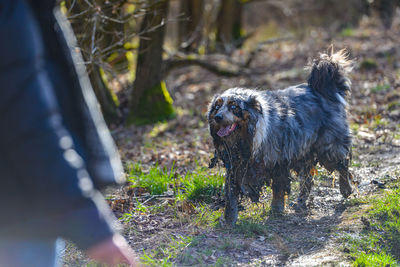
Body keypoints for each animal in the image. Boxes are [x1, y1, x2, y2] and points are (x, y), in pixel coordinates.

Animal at [208, 49, 354, 226]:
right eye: (217, 107)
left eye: (234, 106)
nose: (218, 118)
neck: (249, 138)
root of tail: (323, 89)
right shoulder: (235, 166)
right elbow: (231, 196)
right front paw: (229, 220)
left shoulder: (278, 160)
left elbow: (278, 188)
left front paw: (276, 210)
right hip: (304, 152)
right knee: (307, 181)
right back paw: (301, 202)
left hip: (330, 147)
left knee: (343, 165)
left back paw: (346, 189)